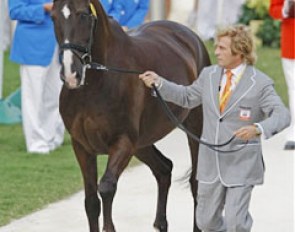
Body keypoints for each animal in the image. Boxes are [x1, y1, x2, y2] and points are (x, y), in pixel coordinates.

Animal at [51, 0, 210, 231]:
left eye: (82, 15)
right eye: (53, 17)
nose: (71, 74)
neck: (97, 82)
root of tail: (190, 36)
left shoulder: (123, 142)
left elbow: (106, 188)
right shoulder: (82, 146)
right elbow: (91, 202)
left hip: (194, 127)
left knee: (195, 183)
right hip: (142, 143)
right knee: (163, 169)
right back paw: (160, 223)